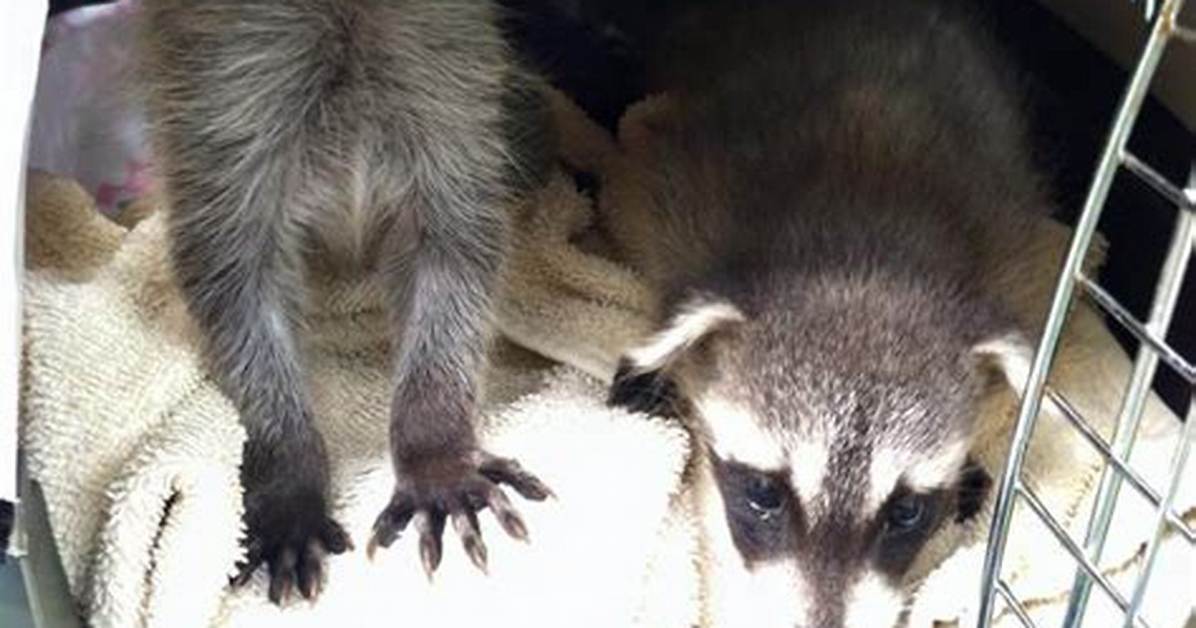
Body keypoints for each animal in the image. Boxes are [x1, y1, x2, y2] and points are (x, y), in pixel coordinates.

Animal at [137, 0, 553, 603]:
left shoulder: (450, 87)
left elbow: (455, 258)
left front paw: (433, 440)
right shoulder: (218, 104)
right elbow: (235, 287)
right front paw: (287, 464)